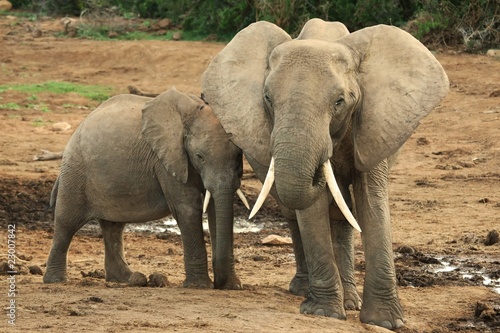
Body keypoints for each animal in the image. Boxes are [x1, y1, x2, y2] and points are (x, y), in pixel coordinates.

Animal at [43, 87, 248, 288]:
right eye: (199, 156)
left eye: (239, 156)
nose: (219, 284)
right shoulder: (166, 159)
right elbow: (188, 208)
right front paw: (200, 286)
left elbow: (213, 208)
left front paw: (233, 286)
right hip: (75, 171)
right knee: (66, 223)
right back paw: (56, 280)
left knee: (113, 226)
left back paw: (127, 279)